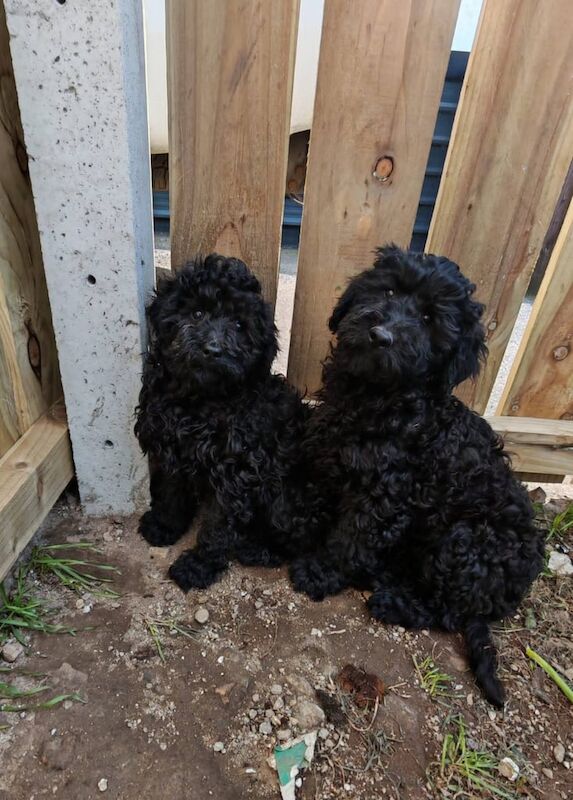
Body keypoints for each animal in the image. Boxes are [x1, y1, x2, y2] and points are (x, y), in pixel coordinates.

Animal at [135, 253, 308, 592]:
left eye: (240, 325)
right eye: (197, 312)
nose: (213, 349)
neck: (201, 401)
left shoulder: (236, 472)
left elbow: (218, 527)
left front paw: (198, 566)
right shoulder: (173, 448)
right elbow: (172, 492)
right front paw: (164, 526)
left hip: (285, 497)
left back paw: (258, 548)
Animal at [292, 245, 544, 708]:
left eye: (429, 318)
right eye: (389, 289)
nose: (380, 335)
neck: (375, 397)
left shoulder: (386, 494)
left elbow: (352, 538)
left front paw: (319, 571)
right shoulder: (328, 454)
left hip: (463, 541)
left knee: (446, 610)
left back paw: (393, 601)